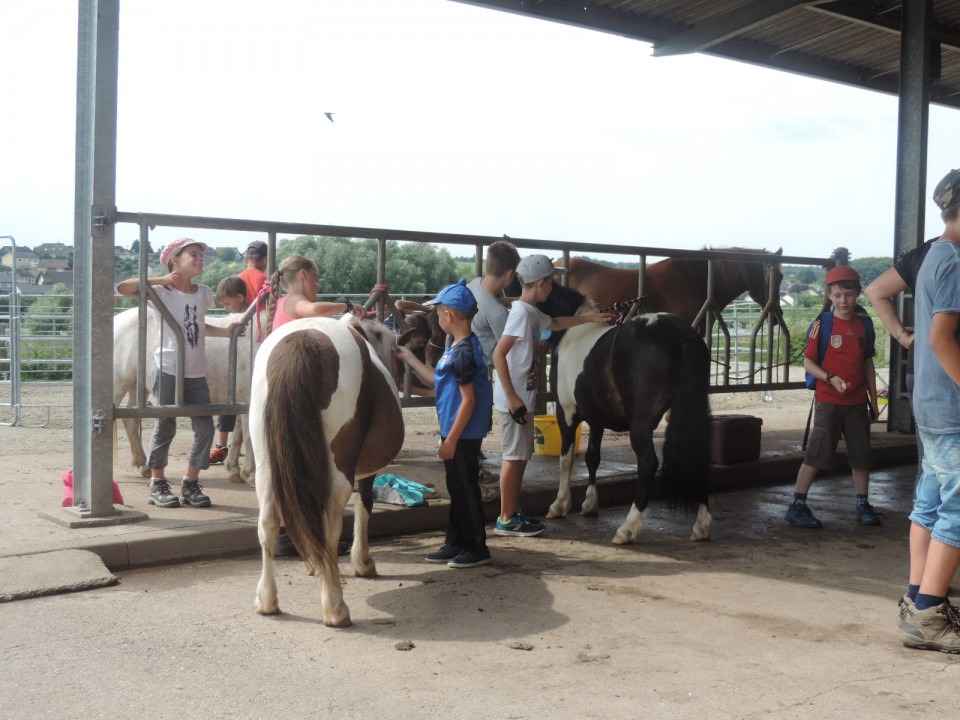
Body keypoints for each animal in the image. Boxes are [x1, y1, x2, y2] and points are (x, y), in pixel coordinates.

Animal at [249, 314, 404, 624]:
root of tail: (301, 341)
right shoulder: (364, 473)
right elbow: (364, 506)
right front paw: (362, 562)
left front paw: (313, 563)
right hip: (339, 469)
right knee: (330, 523)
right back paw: (335, 607)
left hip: (266, 466)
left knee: (268, 522)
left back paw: (267, 601)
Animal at [540, 284, 712, 544]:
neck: (573, 332)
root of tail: (680, 336)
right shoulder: (596, 418)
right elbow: (592, 457)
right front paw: (589, 505)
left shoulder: (566, 412)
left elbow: (566, 459)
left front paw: (559, 505)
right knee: (697, 456)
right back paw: (701, 526)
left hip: (640, 425)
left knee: (648, 463)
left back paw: (627, 528)